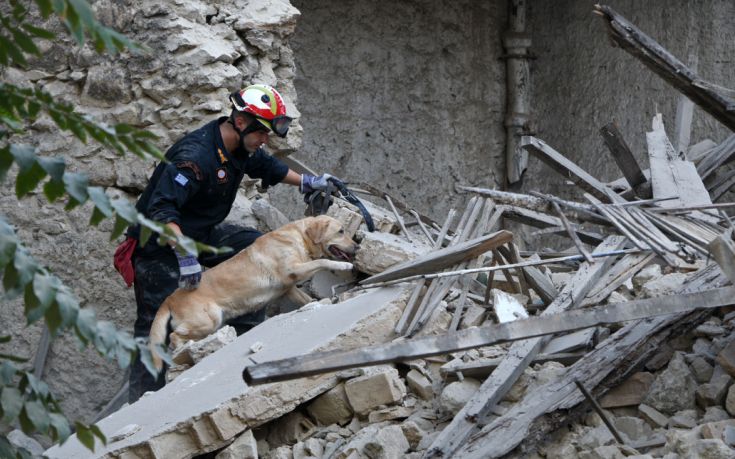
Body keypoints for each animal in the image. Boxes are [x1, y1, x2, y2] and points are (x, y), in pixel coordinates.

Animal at [150, 215, 356, 370]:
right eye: (341, 231)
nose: (357, 247)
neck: (299, 237)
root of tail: (169, 298)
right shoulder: (293, 269)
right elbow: (322, 261)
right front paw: (343, 265)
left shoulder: (288, 289)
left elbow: (306, 298)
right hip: (210, 319)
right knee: (173, 336)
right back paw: (186, 348)